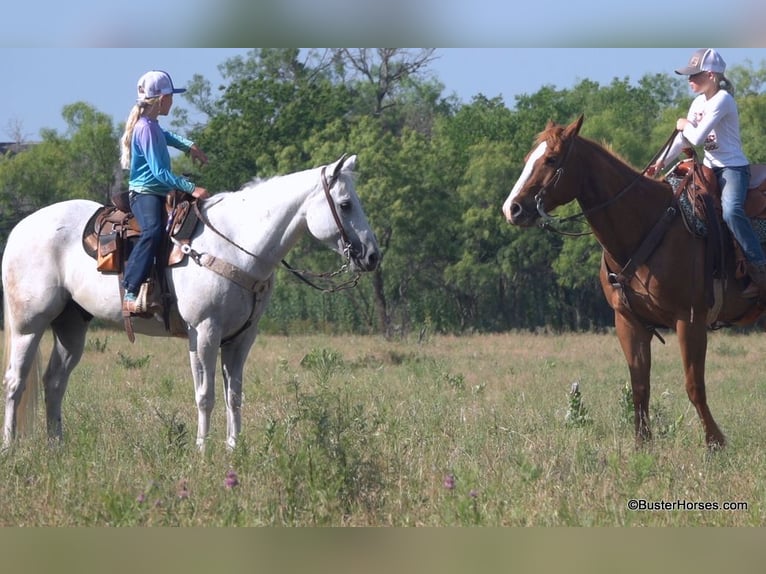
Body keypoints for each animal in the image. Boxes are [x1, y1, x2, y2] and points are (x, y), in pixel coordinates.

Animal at [2, 155, 380, 452]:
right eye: (345, 204)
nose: (372, 256)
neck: (236, 244)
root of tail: (20, 228)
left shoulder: (241, 338)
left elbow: (234, 396)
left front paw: (233, 449)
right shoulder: (205, 332)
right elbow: (205, 395)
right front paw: (202, 452)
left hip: (71, 325)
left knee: (54, 383)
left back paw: (56, 447)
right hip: (28, 325)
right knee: (15, 381)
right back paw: (10, 447)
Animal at [504, 116, 766, 450]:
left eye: (551, 159)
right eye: (528, 158)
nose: (512, 209)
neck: (648, 224)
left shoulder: (690, 319)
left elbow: (694, 384)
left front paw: (715, 443)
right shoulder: (629, 321)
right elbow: (639, 385)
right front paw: (643, 445)